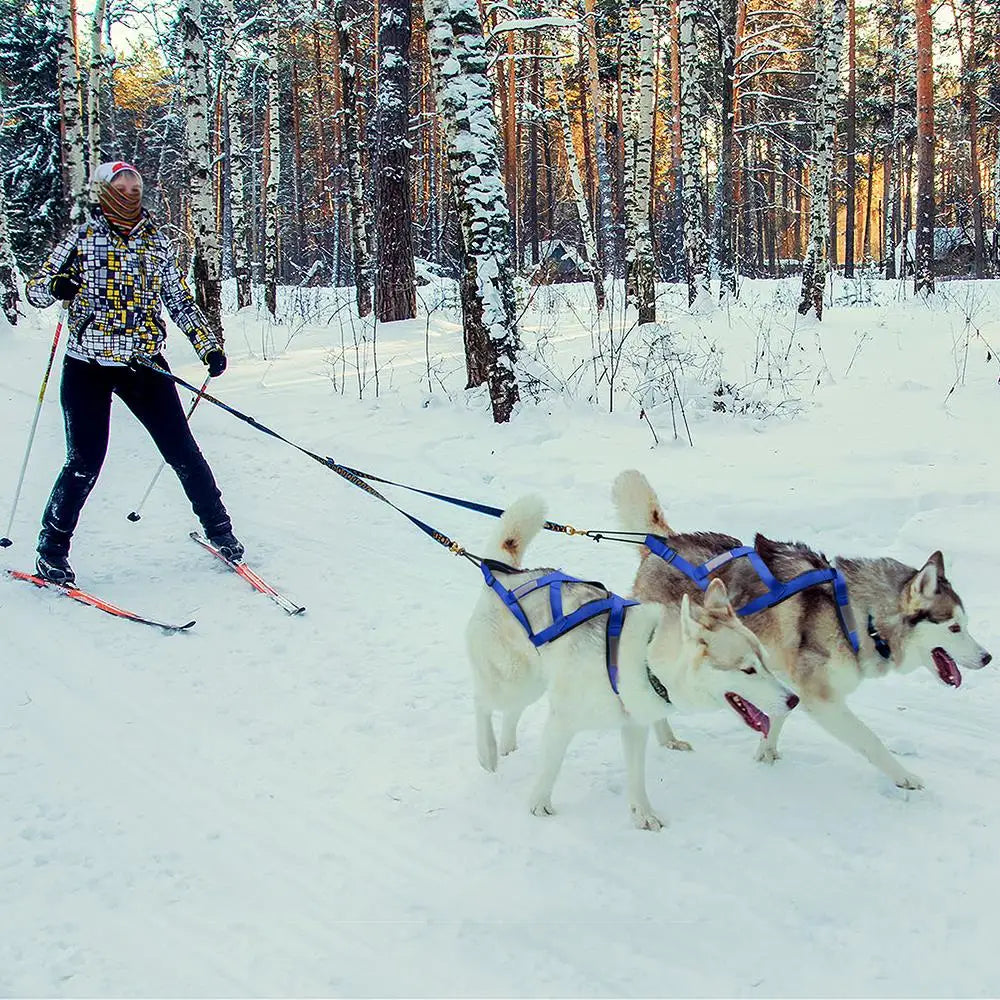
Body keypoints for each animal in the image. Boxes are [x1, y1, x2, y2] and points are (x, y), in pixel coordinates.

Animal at [464, 492, 800, 828]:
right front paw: (538, 805)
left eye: (765, 661)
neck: (646, 658)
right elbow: (550, 767)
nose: (794, 700)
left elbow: (637, 776)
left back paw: (506, 747)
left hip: (529, 683)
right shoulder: (563, 720)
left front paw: (644, 815)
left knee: (511, 710)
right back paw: (487, 752)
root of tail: (506, 575)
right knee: (481, 701)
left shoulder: (635, 726)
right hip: (511, 678)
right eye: (748, 669)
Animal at [608, 468, 992, 788]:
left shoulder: (791, 681)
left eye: (966, 624)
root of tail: (664, 545)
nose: (988, 658)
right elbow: (870, 740)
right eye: (954, 628)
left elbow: (780, 713)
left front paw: (766, 752)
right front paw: (904, 776)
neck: (860, 618)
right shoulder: (822, 698)